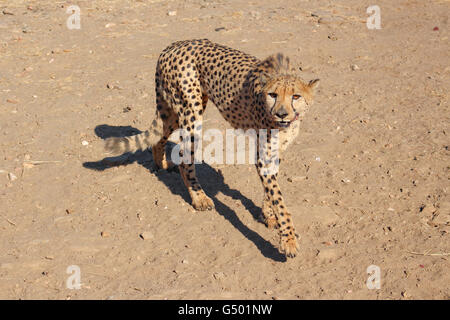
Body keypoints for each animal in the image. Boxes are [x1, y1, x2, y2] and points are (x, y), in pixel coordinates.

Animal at [104, 38, 320, 258]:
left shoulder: (276, 152)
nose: (281, 114)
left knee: (161, 135)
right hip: (190, 109)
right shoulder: (263, 156)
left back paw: (161, 164)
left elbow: (272, 191)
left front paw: (267, 215)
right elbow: (279, 199)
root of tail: (173, 45)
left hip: (181, 107)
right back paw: (199, 198)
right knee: (184, 154)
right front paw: (288, 240)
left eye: (296, 96)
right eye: (273, 95)